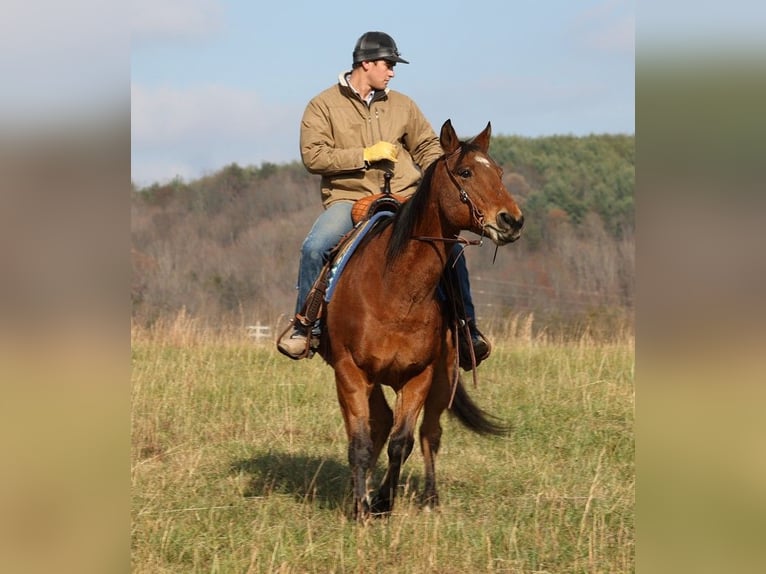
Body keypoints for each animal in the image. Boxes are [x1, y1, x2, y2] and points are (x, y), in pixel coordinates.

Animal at [320, 119, 524, 520]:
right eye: (466, 172)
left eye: (499, 173)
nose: (512, 220)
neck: (396, 290)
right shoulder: (350, 372)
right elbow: (360, 442)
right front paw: (362, 508)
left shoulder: (420, 376)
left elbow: (402, 442)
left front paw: (382, 502)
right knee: (377, 426)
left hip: (443, 379)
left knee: (429, 434)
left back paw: (430, 497)